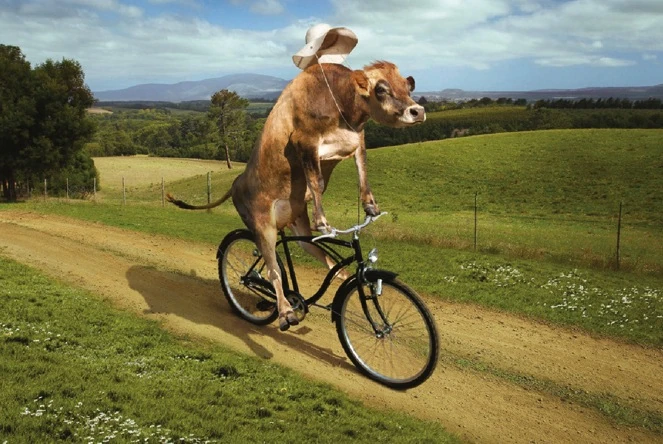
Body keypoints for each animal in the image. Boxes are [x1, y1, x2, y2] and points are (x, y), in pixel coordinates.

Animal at [167, 60, 425, 331]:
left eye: (408, 86)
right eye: (381, 89)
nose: (417, 111)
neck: (341, 103)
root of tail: (236, 182)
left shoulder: (357, 138)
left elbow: (362, 167)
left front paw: (371, 207)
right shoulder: (305, 141)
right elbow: (317, 178)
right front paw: (323, 223)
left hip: (296, 215)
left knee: (308, 247)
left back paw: (339, 275)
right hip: (262, 225)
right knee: (272, 270)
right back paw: (285, 311)